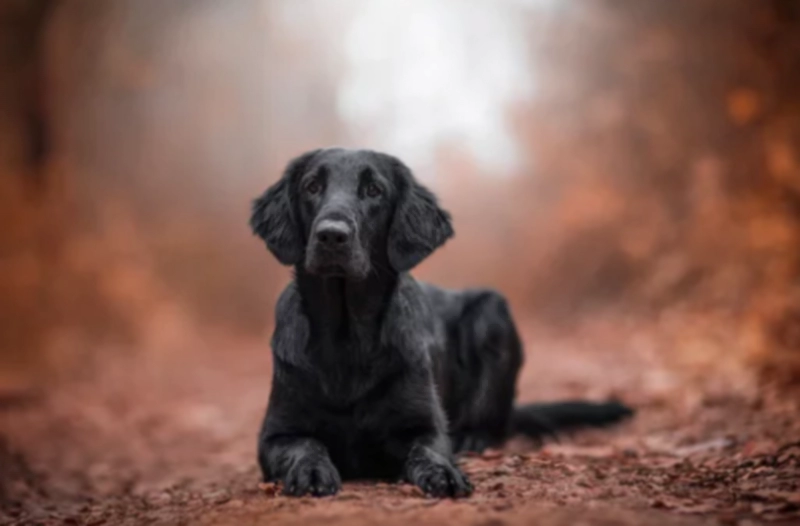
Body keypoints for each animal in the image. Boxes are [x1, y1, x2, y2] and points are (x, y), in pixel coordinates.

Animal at [248, 147, 632, 500]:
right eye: (312, 186)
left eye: (374, 190)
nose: (331, 235)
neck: (347, 339)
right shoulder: (275, 435)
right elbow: (305, 446)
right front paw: (312, 471)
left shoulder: (425, 425)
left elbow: (429, 449)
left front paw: (443, 473)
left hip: (491, 311)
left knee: (492, 425)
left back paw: (472, 438)